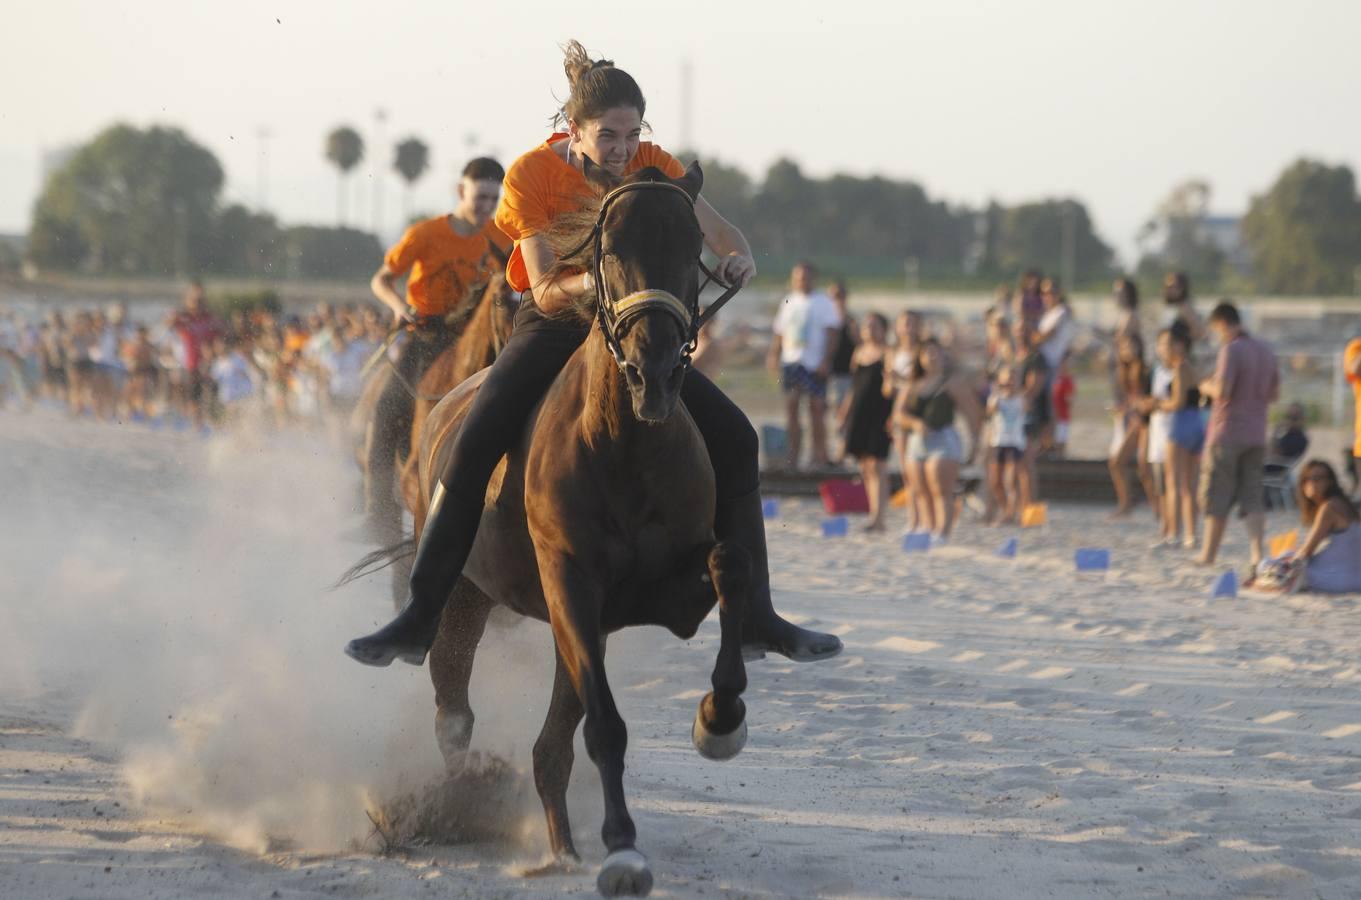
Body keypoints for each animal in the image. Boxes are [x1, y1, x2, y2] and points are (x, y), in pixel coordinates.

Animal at [416, 164, 751, 893]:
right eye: (610, 250)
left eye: (693, 248)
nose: (656, 369)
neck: (624, 444)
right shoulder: (571, 583)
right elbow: (602, 726)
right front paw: (622, 851)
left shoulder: (666, 587)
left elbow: (730, 576)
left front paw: (720, 721)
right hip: (464, 593)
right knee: (452, 704)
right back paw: (459, 802)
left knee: (543, 740)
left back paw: (559, 843)